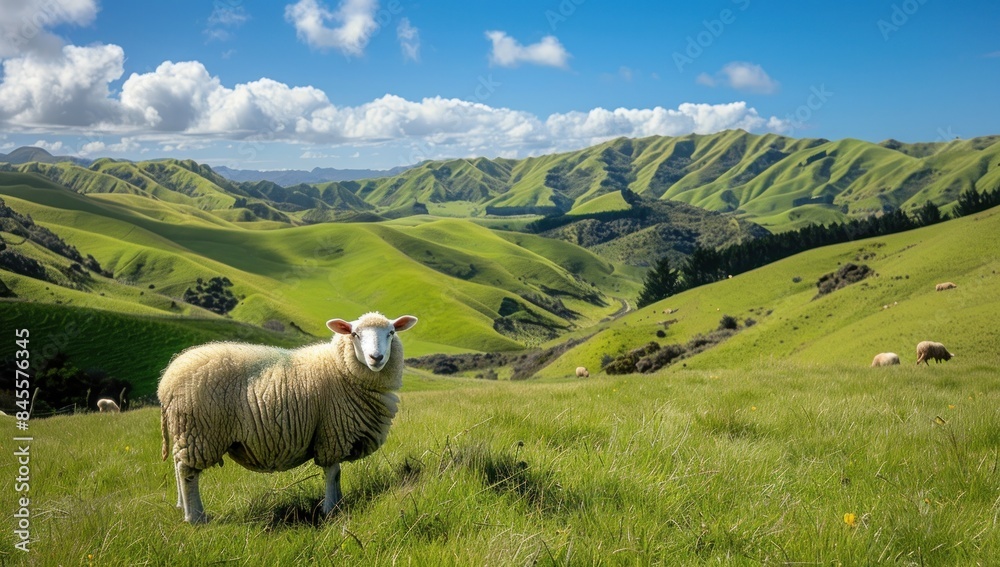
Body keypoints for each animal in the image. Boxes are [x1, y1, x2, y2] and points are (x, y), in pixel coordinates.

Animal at [158, 312, 417, 524]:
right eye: (355, 334)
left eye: (391, 332)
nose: (376, 357)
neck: (340, 367)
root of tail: (166, 381)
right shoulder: (332, 432)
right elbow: (333, 472)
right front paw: (330, 508)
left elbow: (337, 474)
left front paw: (339, 502)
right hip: (199, 431)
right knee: (187, 472)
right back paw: (195, 517)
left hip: (185, 431)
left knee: (177, 463)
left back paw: (181, 506)